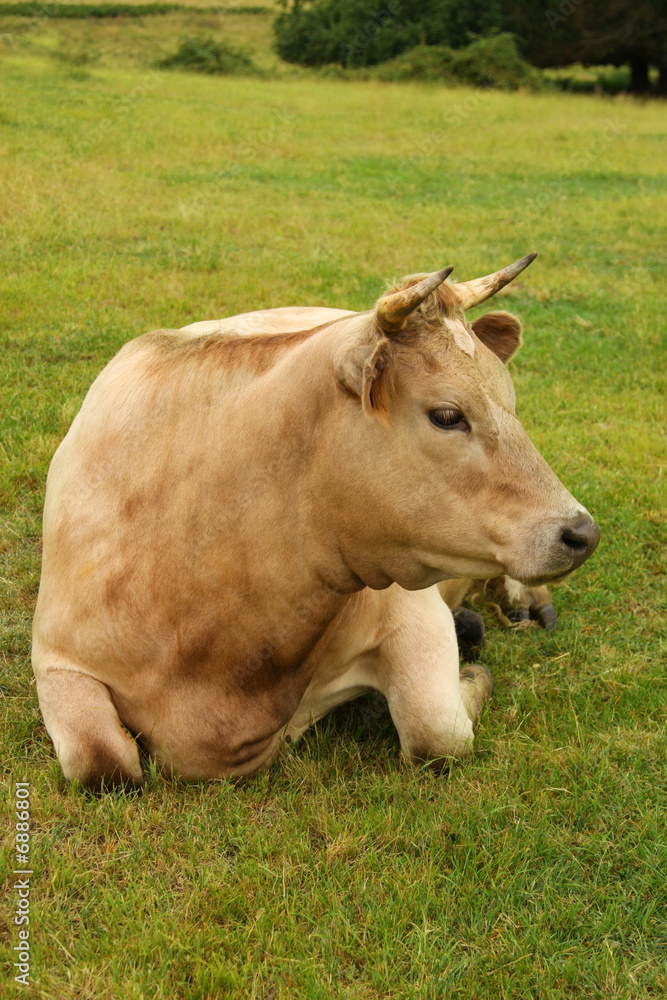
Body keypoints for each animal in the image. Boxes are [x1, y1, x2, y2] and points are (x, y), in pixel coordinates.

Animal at [31, 254, 599, 790]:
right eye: (446, 415)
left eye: (512, 403)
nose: (583, 533)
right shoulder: (56, 659)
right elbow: (101, 764)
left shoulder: (410, 609)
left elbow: (437, 733)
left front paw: (473, 674)